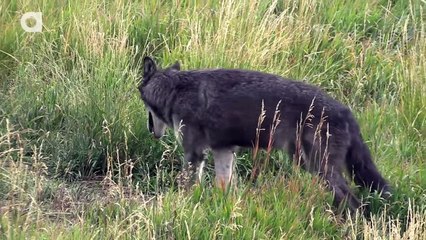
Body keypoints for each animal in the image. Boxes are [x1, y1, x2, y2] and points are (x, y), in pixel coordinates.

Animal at [138, 56, 392, 212]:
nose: (150, 131)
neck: (174, 90)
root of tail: (346, 111)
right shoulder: (223, 152)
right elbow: (224, 187)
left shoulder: (194, 154)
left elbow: (188, 187)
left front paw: (185, 207)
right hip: (308, 164)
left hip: (318, 168)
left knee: (353, 202)